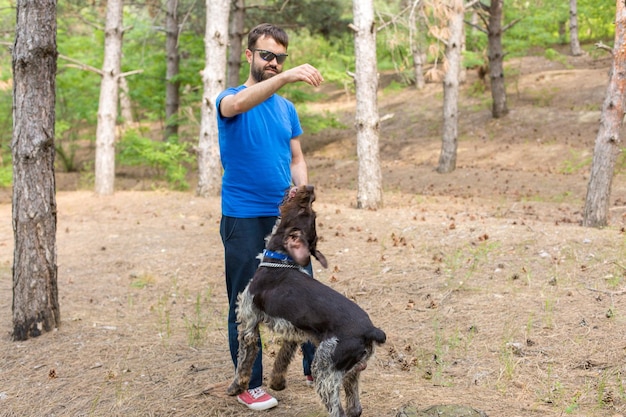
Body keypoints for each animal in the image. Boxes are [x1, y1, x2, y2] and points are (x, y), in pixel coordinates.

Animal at [225, 185, 386, 416]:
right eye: (310, 210)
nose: (310, 188)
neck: (281, 259)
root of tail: (371, 330)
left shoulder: (249, 324)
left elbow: (244, 363)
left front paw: (236, 387)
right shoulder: (293, 331)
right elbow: (282, 358)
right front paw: (277, 382)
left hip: (324, 371)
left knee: (338, 411)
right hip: (352, 373)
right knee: (355, 408)